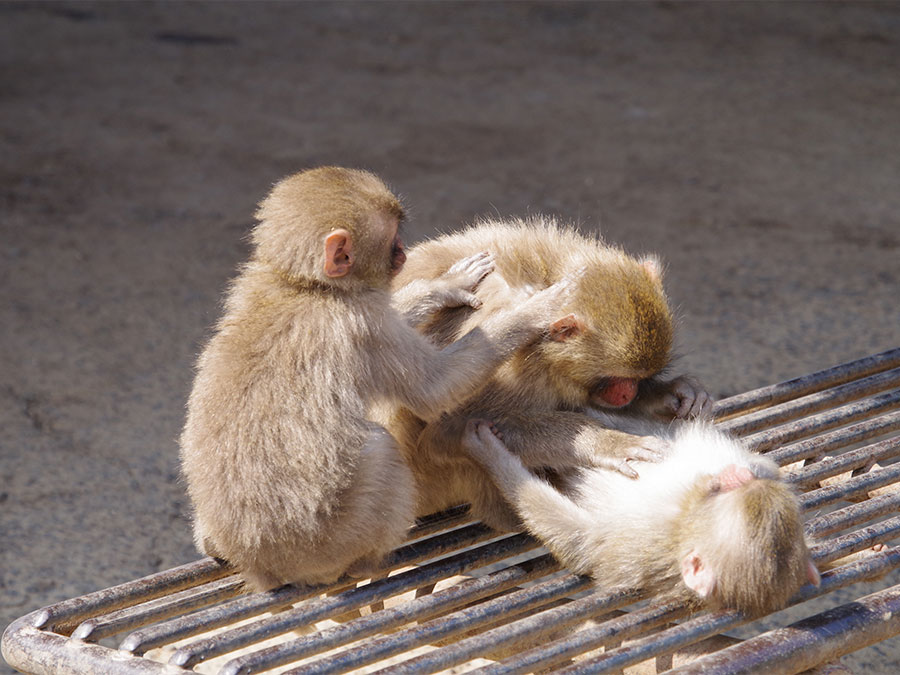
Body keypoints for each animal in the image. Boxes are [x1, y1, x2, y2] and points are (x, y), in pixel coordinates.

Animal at [178, 169, 576, 592]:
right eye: (393, 239)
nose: (402, 253)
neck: (302, 284)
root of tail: (258, 565)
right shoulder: (364, 322)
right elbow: (433, 390)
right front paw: (532, 310)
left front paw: (444, 286)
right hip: (334, 544)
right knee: (378, 446)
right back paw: (370, 560)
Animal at [384, 220, 712, 528]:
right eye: (617, 380)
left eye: (639, 379)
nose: (627, 394)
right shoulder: (513, 372)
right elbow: (447, 430)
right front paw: (603, 442)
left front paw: (672, 392)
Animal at [460, 420, 820, 620]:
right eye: (743, 487)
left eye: (725, 494)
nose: (735, 476)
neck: (685, 513)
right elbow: (768, 465)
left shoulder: (646, 538)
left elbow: (583, 540)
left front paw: (492, 456)